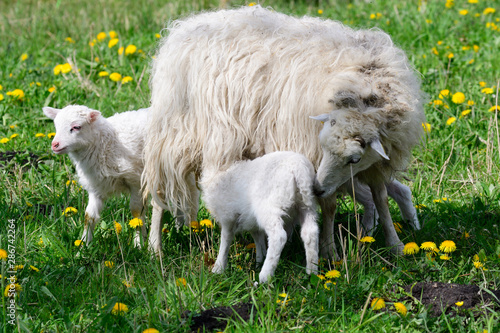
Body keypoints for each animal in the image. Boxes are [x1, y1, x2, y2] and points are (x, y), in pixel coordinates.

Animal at [42, 104, 165, 252]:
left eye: (76, 127)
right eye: (56, 125)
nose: (55, 145)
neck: (105, 143)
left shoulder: (136, 181)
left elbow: (136, 213)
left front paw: (138, 244)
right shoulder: (96, 186)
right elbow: (89, 217)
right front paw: (83, 247)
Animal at [201, 151, 318, 282]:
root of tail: (299, 170)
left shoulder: (227, 217)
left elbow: (225, 241)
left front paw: (218, 268)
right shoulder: (252, 223)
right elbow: (258, 240)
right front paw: (258, 261)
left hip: (270, 208)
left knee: (279, 236)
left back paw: (265, 276)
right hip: (306, 205)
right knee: (310, 233)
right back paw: (312, 271)